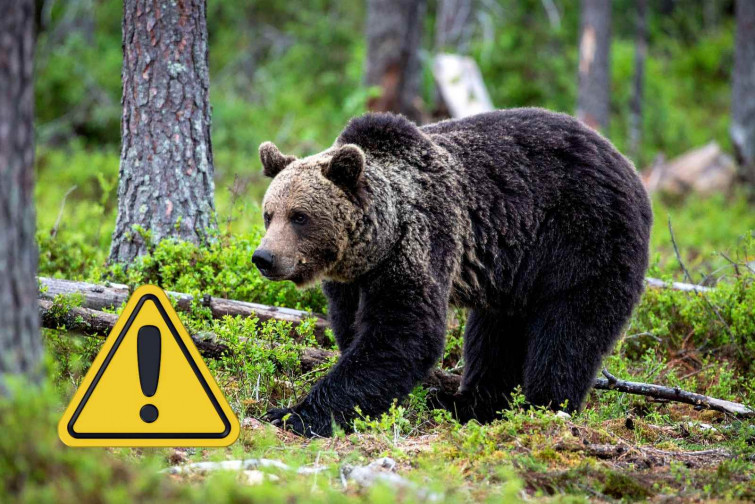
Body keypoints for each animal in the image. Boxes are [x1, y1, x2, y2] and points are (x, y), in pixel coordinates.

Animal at [253, 108, 652, 437]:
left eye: (299, 216)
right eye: (269, 214)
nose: (264, 257)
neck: (376, 242)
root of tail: (626, 164)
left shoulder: (422, 239)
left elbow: (405, 332)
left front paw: (293, 414)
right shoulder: (353, 280)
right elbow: (353, 326)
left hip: (585, 241)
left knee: (569, 332)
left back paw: (542, 408)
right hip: (514, 270)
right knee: (495, 334)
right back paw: (466, 403)